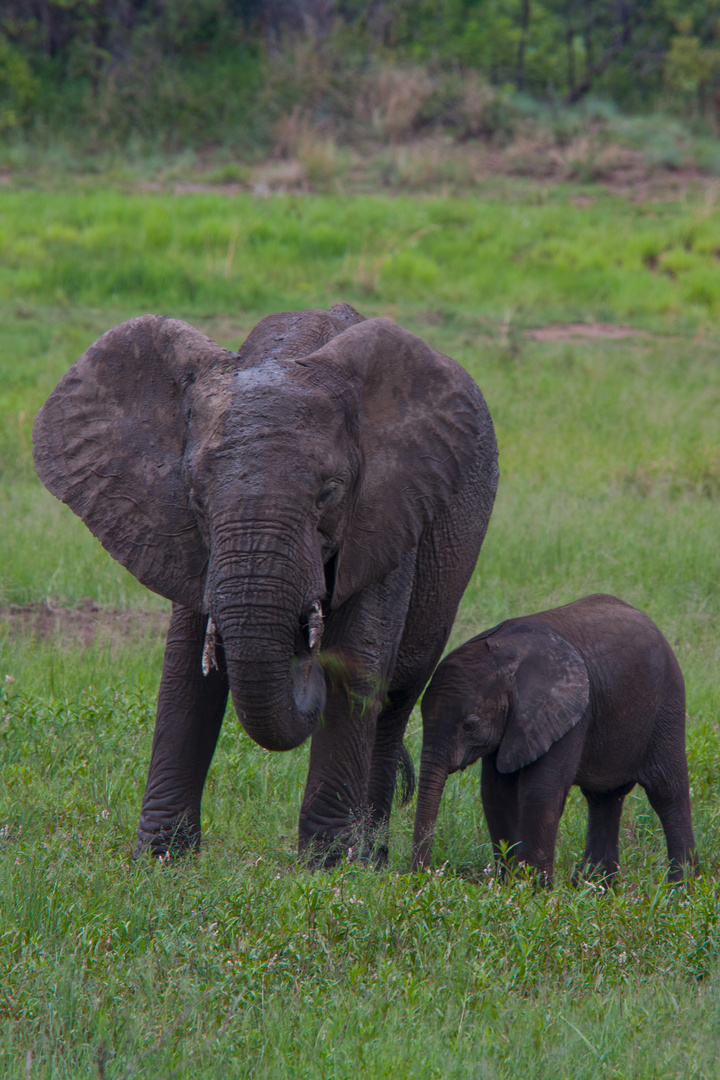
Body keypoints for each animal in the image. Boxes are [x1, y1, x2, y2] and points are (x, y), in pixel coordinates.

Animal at [32, 306, 496, 868]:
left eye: (328, 494)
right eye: (196, 497)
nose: (305, 653)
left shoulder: (389, 511)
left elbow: (359, 657)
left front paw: (326, 869)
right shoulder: (186, 539)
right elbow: (186, 668)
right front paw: (161, 861)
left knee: (395, 700)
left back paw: (371, 859)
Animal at [410, 591, 699, 885]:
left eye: (470, 725)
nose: (421, 876)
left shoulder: (569, 714)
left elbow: (541, 791)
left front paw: (532, 889)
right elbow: (495, 793)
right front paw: (508, 885)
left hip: (667, 704)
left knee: (667, 790)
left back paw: (682, 887)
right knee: (604, 798)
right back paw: (597, 887)